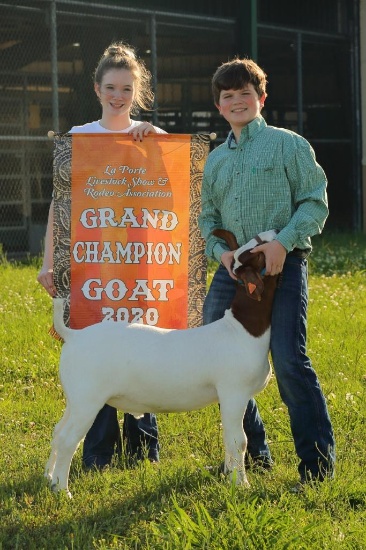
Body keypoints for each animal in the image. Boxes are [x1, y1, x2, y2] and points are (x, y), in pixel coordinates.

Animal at [46, 231, 280, 498]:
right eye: (258, 252)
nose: (272, 233)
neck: (241, 328)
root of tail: (74, 335)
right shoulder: (234, 393)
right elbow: (238, 440)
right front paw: (241, 484)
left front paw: (231, 478)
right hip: (87, 399)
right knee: (67, 439)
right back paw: (63, 490)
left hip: (75, 398)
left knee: (57, 432)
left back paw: (49, 478)